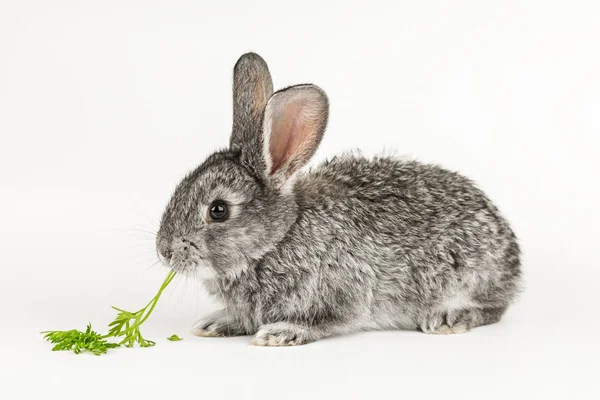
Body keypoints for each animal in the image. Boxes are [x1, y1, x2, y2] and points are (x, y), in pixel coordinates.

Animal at [157, 52, 524, 346]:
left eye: (218, 210)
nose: (165, 252)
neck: (278, 239)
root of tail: (512, 256)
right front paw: (215, 323)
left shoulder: (345, 291)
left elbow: (329, 321)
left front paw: (282, 333)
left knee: (493, 309)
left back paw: (449, 318)